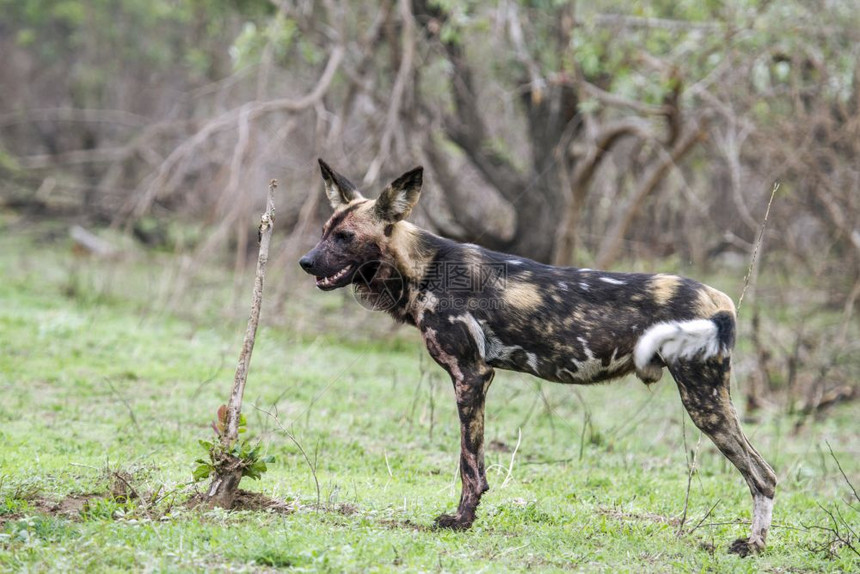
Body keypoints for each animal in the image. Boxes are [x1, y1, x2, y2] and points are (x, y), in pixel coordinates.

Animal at [298, 160, 776, 556]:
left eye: (345, 237)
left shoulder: (471, 375)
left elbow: (468, 465)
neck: (423, 269)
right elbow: (475, 464)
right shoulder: (476, 379)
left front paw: (460, 521)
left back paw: (753, 546)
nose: (305, 262)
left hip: (703, 401)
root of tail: (719, 299)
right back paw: (756, 544)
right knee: (765, 475)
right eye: (324, 230)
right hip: (709, 399)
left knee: (763, 475)